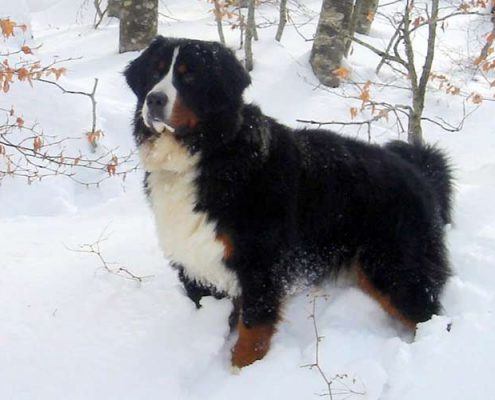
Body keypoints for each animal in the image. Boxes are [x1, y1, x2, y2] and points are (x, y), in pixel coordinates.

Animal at [125, 36, 453, 368]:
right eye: (155, 72)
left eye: (190, 76)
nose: (154, 100)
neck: (210, 154)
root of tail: (419, 174)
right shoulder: (197, 264)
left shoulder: (260, 267)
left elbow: (252, 334)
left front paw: (242, 372)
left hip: (394, 270)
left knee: (431, 317)